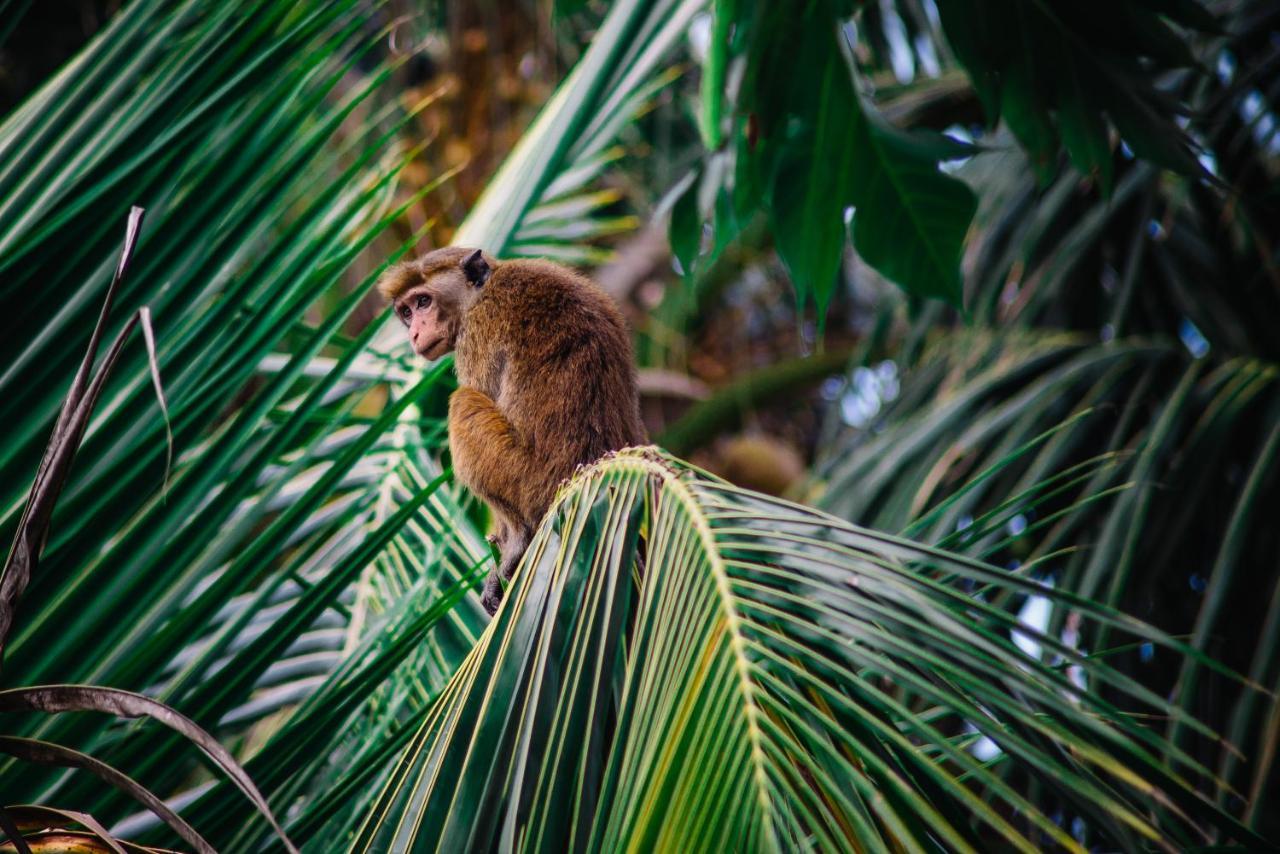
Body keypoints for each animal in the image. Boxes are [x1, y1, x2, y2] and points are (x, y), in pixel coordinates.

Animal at [373, 247, 645, 614]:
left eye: (423, 302)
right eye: (406, 312)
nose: (415, 332)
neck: (481, 290)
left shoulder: (477, 334)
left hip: (525, 481)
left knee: (463, 403)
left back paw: (518, 542)